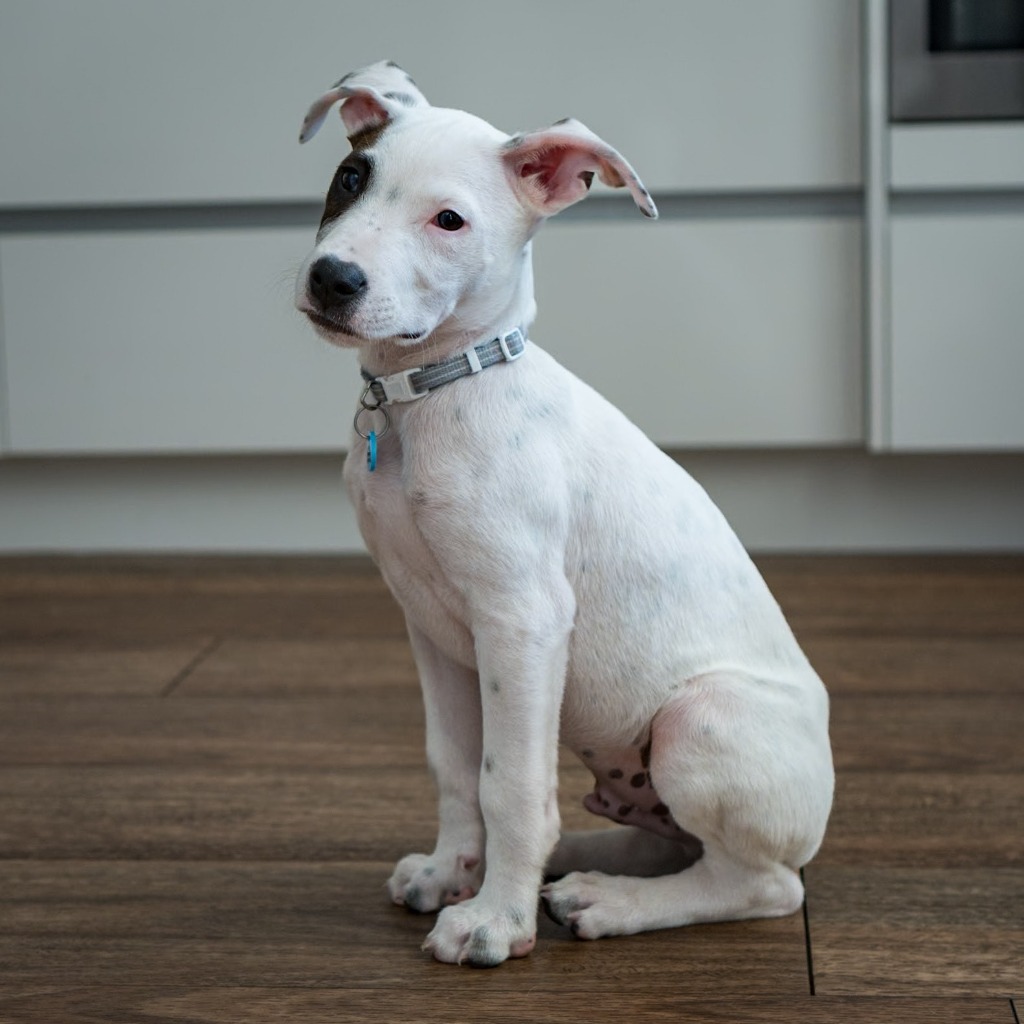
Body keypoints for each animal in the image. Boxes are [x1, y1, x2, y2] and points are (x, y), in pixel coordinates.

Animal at [295, 61, 834, 967]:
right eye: (349, 178)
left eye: (449, 220)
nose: (333, 279)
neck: (432, 395)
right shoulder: (431, 628)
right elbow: (457, 768)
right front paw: (453, 872)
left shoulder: (522, 621)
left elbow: (509, 784)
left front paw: (493, 921)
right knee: (668, 841)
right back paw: (578, 865)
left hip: (697, 720)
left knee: (760, 883)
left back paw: (606, 902)